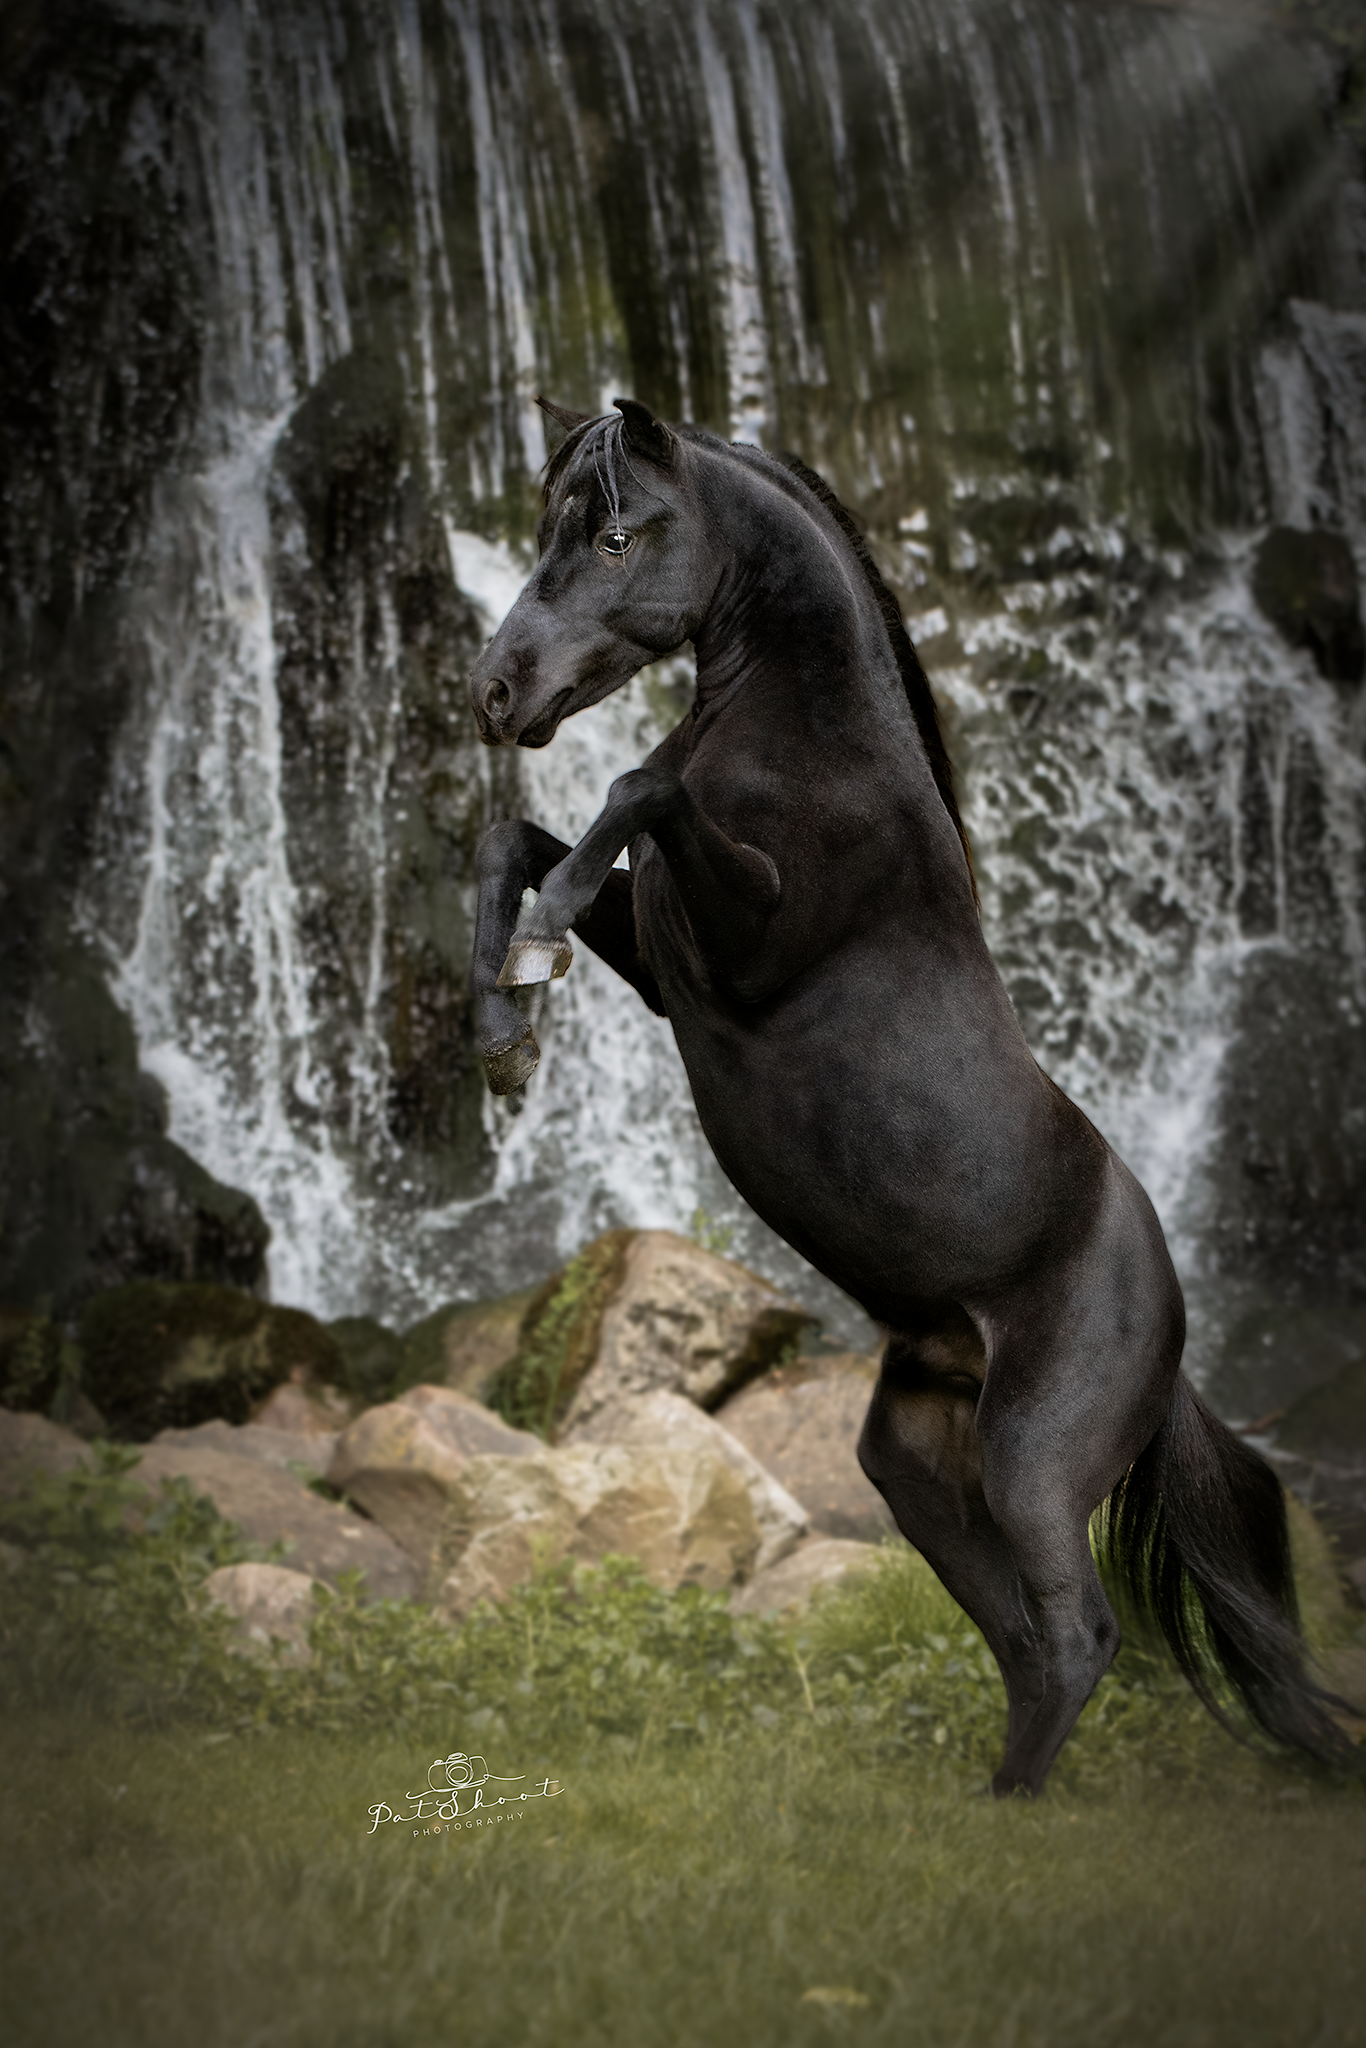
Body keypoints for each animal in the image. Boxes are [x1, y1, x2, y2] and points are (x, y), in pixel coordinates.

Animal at [467, 397, 1354, 1795]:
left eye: (611, 535)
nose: (496, 693)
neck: (815, 753)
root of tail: (1171, 1338)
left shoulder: (745, 950)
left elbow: (632, 792)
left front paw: (534, 951)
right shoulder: (672, 970)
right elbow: (515, 837)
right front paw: (502, 1029)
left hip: (1035, 1459)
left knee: (1080, 1631)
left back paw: (1014, 1812)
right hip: (917, 1460)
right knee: (1028, 1638)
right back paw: (992, 1804)